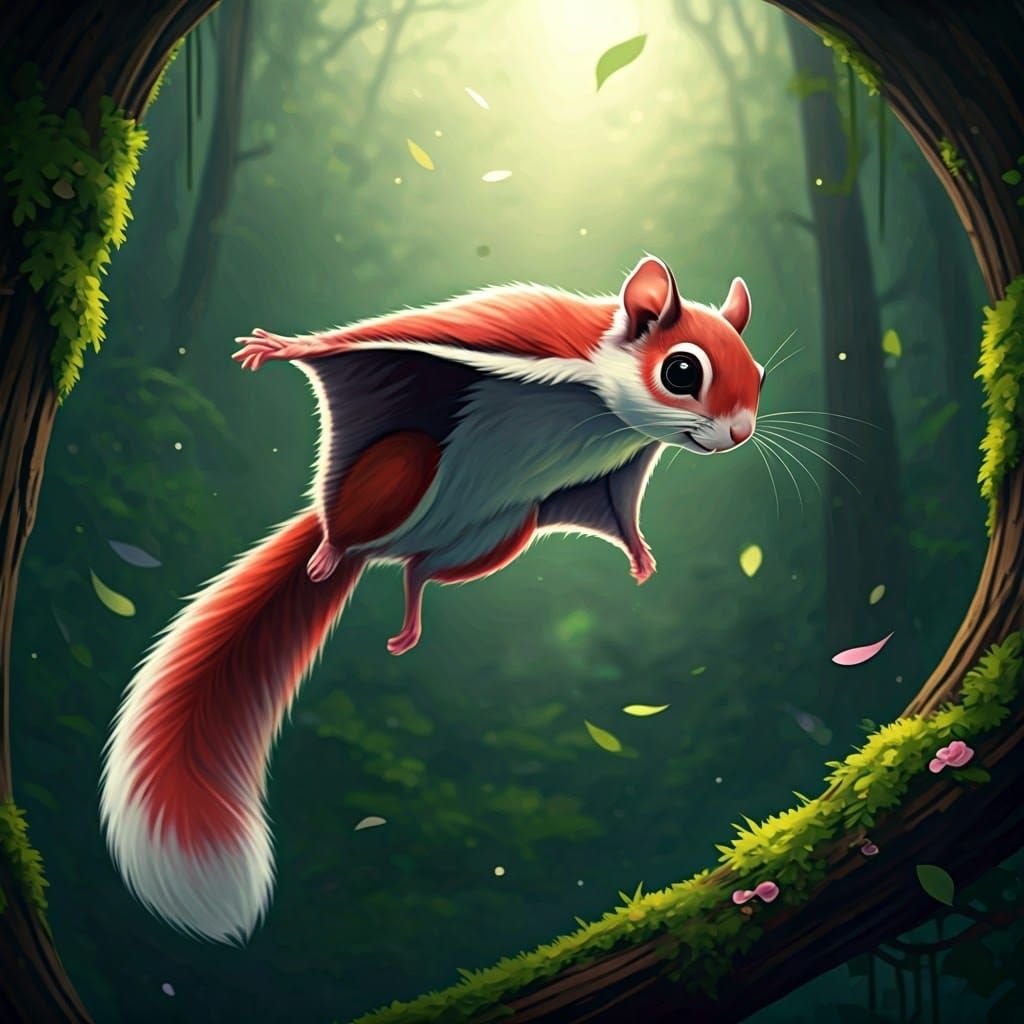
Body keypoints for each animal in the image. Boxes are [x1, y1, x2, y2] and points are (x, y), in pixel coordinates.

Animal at [100, 255, 764, 943]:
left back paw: (409, 602)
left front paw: (639, 556)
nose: (740, 433)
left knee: (419, 571)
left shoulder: (622, 469)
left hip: (505, 530)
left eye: (759, 375)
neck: (602, 404)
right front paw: (287, 346)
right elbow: (378, 338)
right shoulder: (515, 337)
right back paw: (329, 551)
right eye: (682, 371)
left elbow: (621, 508)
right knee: (359, 527)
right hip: (400, 466)